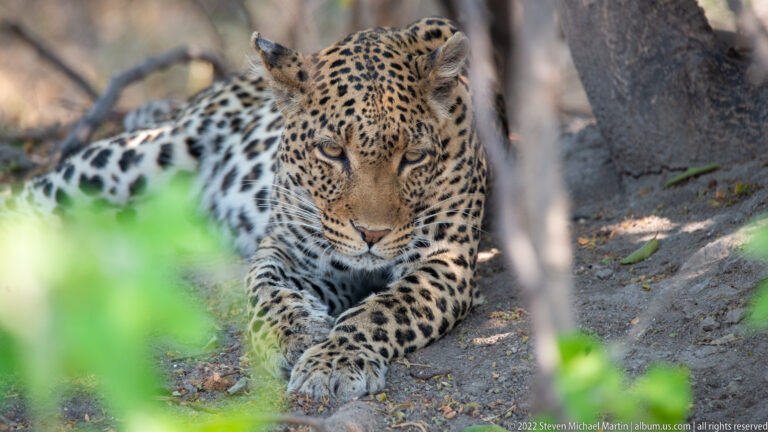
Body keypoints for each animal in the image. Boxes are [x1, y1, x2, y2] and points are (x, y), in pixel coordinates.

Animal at [1, 17, 487, 401]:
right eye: (332, 151)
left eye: (413, 157)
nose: (372, 234)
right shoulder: (290, 250)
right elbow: (264, 289)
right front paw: (296, 334)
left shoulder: (445, 262)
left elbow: (382, 310)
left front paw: (334, 360)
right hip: (142, 154)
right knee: (32, 194)